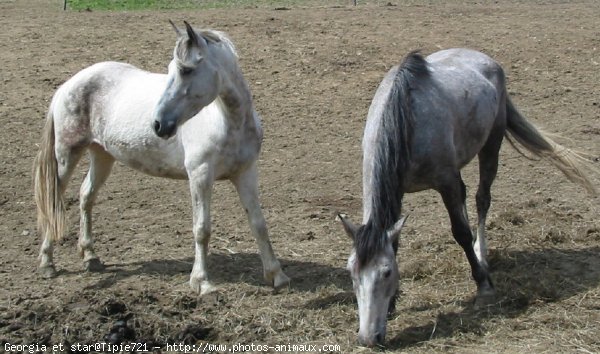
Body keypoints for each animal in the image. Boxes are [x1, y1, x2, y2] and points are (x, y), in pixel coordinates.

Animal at [34, 20, 292, 294]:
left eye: (186, 70)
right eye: (172, 69)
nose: (158, 124)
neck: (227, 122)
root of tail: (67, 85)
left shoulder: (246, 173)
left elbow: (258, 223)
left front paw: (277, 275)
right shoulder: (200, 175)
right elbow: (202, 228)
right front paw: (201, 282)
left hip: (101, 156)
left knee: (86, 196)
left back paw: (90, 257)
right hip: (66, 156)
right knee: (54, 201)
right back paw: (47, 263)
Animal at [338, 48, 596, 348]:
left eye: (386, 272)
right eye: (351, 272)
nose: (368, 338)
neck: (404, 120)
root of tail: (485, 59)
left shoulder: (446, 182)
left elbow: (460, 231)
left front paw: (483, 285)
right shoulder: (400, 191)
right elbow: (397, 242)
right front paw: (391, 307)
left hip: (491, 145)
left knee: (481, 199)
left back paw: (481, 254)